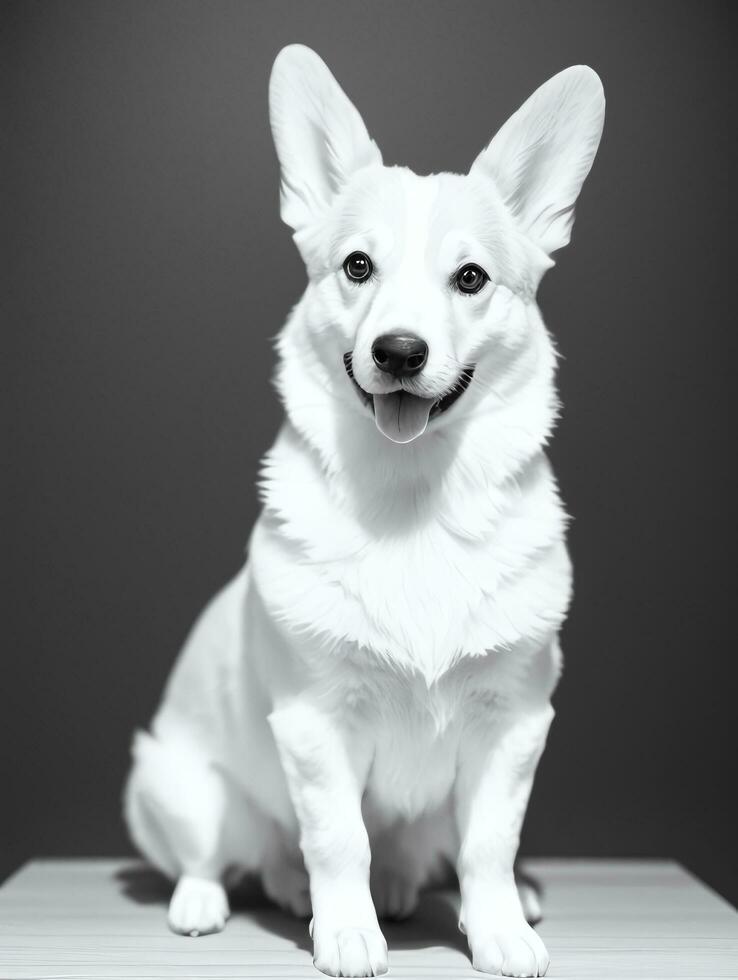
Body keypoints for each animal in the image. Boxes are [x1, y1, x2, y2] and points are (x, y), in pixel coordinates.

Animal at [122, 46, 604, 980]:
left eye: (470, 279)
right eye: (356, 268)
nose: (400, 352)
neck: (413, 499)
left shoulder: (514, 725)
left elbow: (490, 843)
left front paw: (498, 931)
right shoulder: (317, 724)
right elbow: (339, 840)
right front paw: (346, 932)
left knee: (425, 852)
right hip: (172, 784)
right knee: (223, 855)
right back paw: (216, 901)